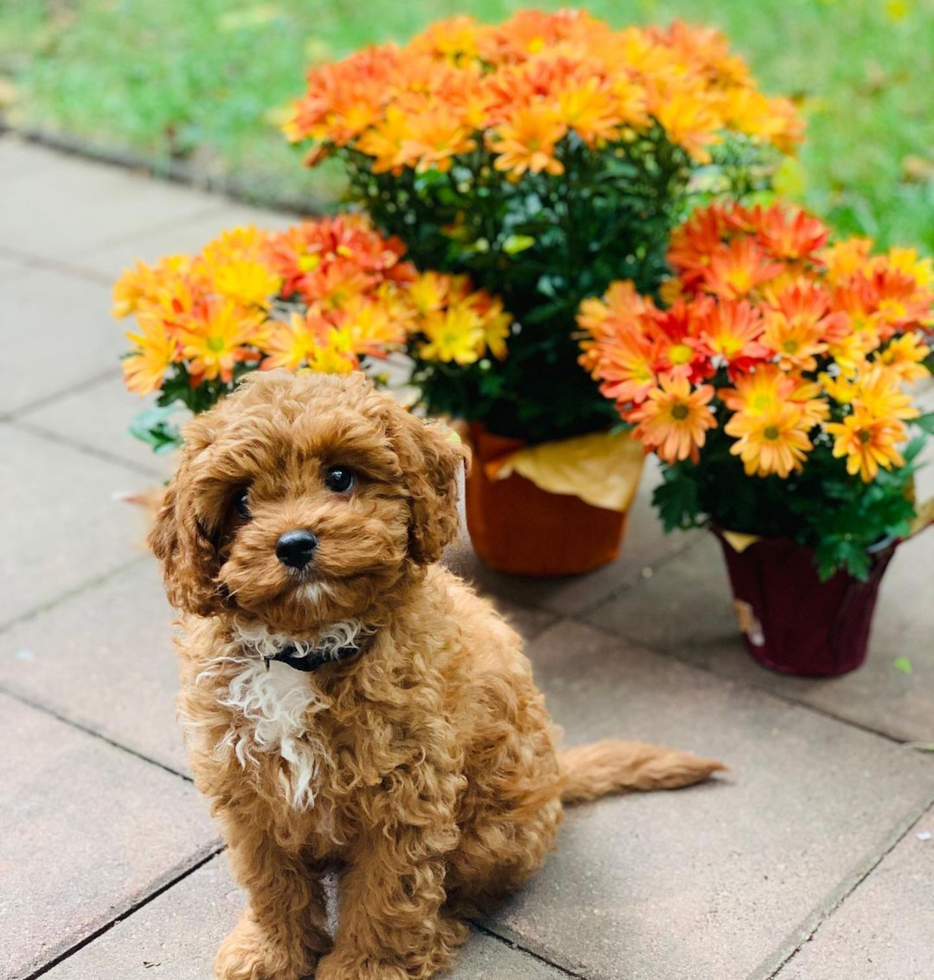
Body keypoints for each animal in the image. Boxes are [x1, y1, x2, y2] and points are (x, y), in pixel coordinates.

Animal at [152, 372, 724, 980]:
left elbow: (388, 892)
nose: (295, 544)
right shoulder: (249, 789)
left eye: (340, 476)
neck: (306, 650)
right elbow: (271, 879)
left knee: (461, 892)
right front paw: (271, 952)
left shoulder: (407, 792)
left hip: (494, 827)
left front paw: (364, 967)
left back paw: (438, 934)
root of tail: (558, 779)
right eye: (240, 501)